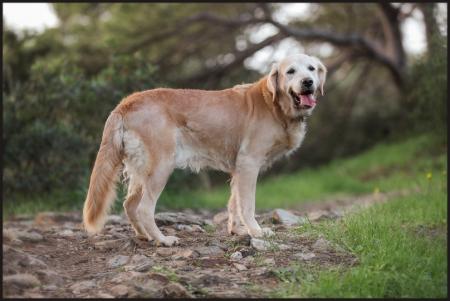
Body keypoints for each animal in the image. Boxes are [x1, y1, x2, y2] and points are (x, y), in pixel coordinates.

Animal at [81, 54, 326, 246]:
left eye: (311, 68)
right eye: (290, 71)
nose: (308, 82)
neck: (274, 105)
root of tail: (126, 103)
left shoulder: (238, 169)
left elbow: (234, 203)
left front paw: (237, 230)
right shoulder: (249, 163)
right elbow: (247, 205)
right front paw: (256, 231)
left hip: (141, 170)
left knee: (129, 205)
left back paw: (145, 236)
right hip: (161, 167)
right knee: (144, 208)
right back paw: (162, 239)